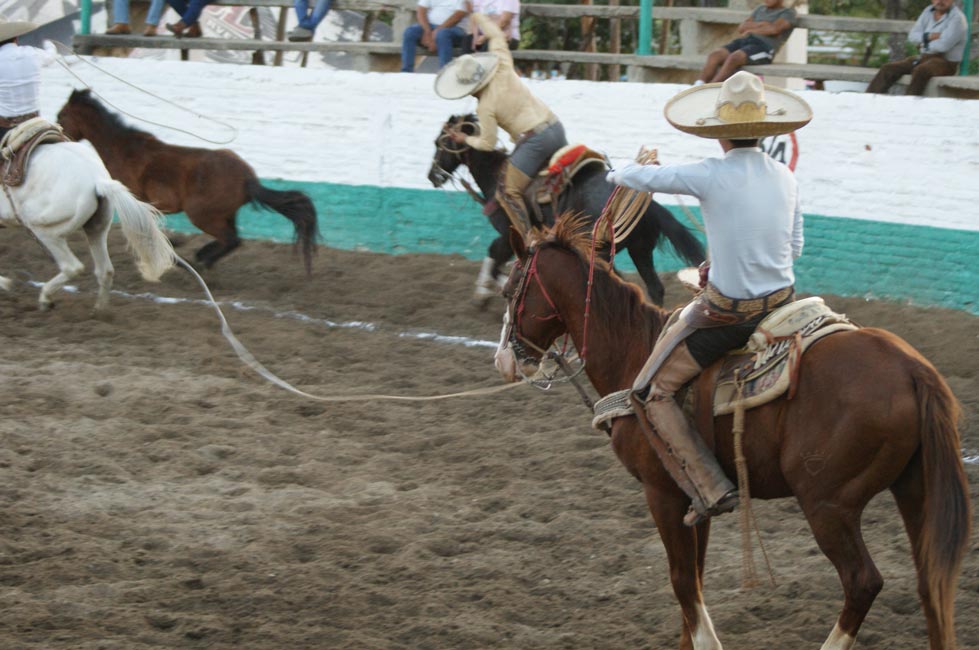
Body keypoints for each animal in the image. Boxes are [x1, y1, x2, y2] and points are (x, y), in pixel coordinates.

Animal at [0, 139, 174, 308]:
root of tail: (97, 180)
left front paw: (5, 284)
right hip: (97, 230)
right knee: (105, 271)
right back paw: (99, 311)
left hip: (45, 231)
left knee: (72, 267)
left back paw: (46, 299)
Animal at [56, 90, 322, 272]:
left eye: (62, 116)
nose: (58, 137)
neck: (122, 149)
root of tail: (248, 178)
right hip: (223, 214)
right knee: (232, 239)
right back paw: (201, 257)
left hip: (201, 214)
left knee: (231, 239)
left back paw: (201, 259)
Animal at [428, 115, 704, 306]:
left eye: (441, 143)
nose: (432, 176)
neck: (497, 176)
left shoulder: (509, 234)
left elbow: (495, 257)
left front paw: (490, 293)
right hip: (640, 249)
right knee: (653, 288)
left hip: (601, 251)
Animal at [494, 214, 968, 648]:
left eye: (509, 289)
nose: (504, 360)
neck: (633, 351)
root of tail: (911, 369)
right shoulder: (694, 496)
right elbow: (695, 580)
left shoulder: (662, 494)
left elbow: (683, 581)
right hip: (914, 489)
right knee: (932, 584)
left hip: (828, 504)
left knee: (862, 581)